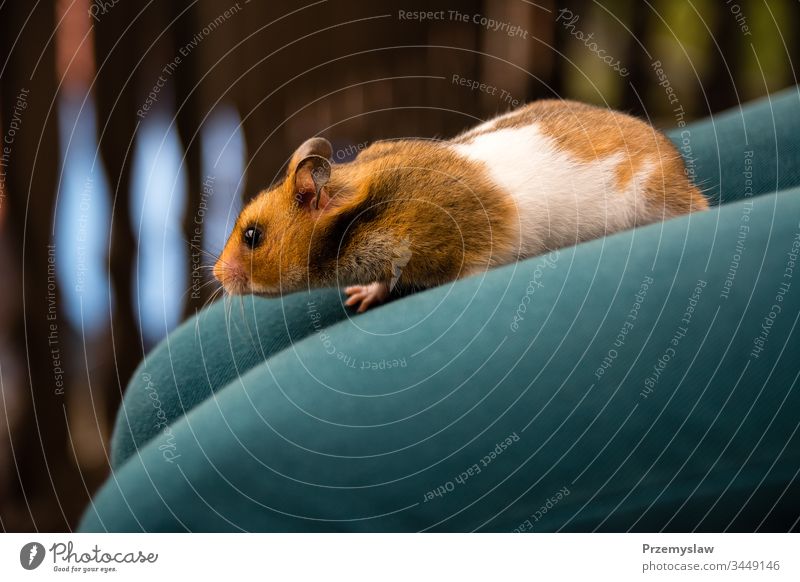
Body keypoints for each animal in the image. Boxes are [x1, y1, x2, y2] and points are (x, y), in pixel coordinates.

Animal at [212, 98, 708, 312]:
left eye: (252, 236)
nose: (216, 275)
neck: (362, 220)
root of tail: (678, 168)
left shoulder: (460, 246)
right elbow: (386, 280)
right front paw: (359, 297)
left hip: (652, 197)